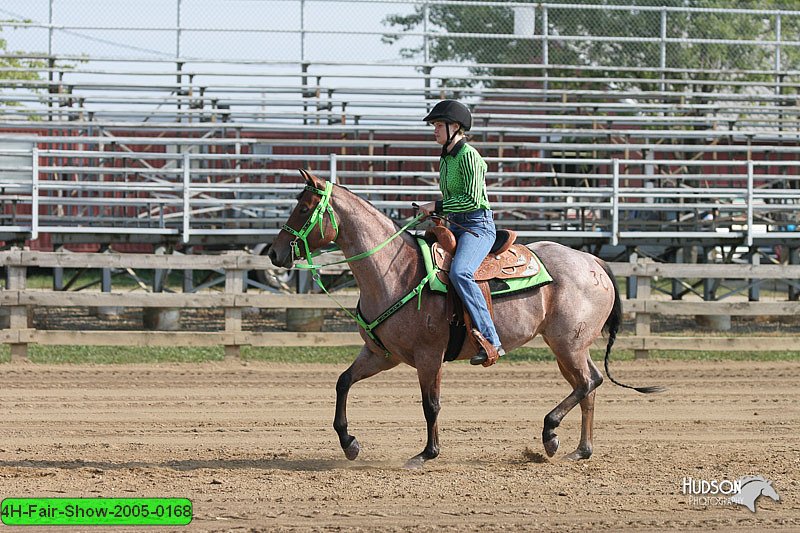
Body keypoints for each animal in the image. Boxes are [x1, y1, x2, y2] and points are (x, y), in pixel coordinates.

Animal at [268, 169, 664, 466]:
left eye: (304, 208)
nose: (273, 253)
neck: (395, 271)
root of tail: (593, 260)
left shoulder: (429, 356)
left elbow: (431, 404)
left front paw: (427, 453)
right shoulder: (383, 355)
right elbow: (343, 383)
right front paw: (349, 442)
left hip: (568, 344)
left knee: (587, 383)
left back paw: (550, 433)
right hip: (567, 347)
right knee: (589, 385)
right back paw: (579, 449)